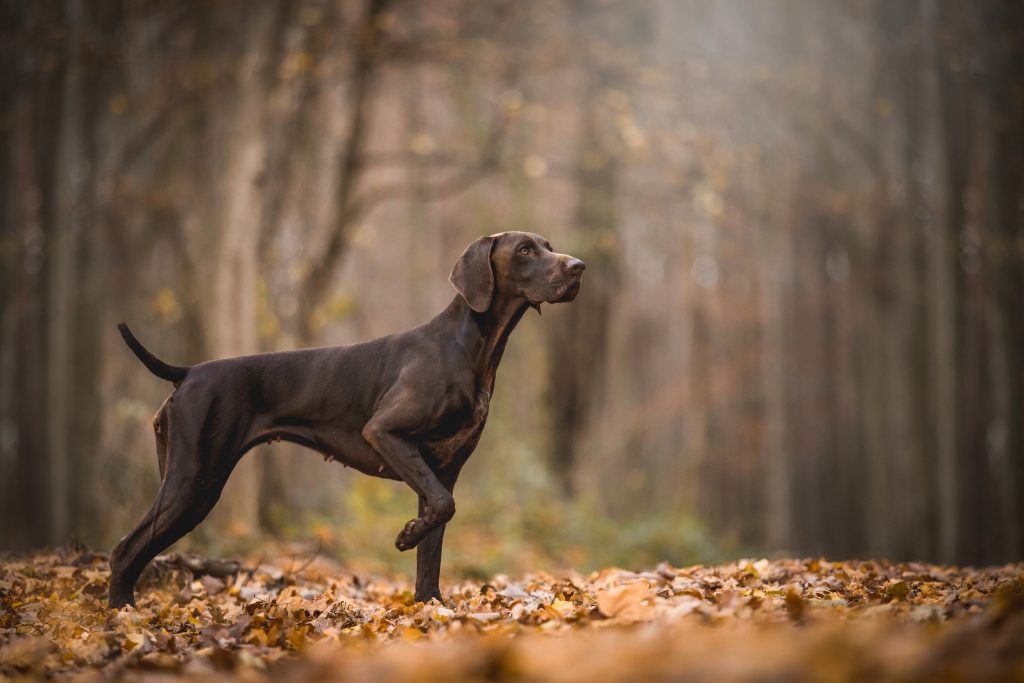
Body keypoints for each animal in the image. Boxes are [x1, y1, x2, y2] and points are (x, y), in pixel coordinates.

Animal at [110, 233, 585, 610]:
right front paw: (406, 536)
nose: (579, 266)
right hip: (194, 481)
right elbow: (442, 509)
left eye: (549, 246)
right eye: (525, 249)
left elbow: (433, 545)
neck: (470, 346)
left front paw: (430, 607)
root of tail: (188, 372)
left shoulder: (444, 471)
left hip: (182, 479)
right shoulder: (384, 433)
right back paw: (122, 614)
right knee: (124, 549)